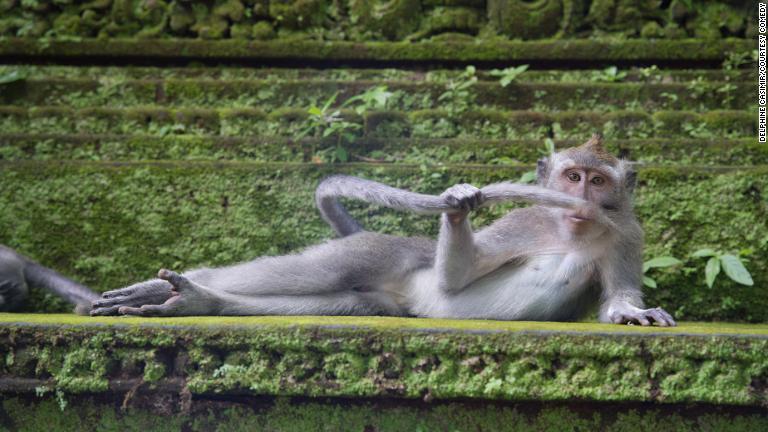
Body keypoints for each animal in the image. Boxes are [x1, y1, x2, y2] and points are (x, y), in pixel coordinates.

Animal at [0, 133, 672, 326]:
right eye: (571, 176)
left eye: (598, 180)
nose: (582, 199)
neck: (573, 232)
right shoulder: (525, 222)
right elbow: (457, 283)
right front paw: (458, 203)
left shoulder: (627, 235)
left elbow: (618, 293)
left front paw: (631, 312)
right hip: (380, 251)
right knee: (319, 269)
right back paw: (174, 286)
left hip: (382, 300)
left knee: (338, 298)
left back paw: (197, 300)